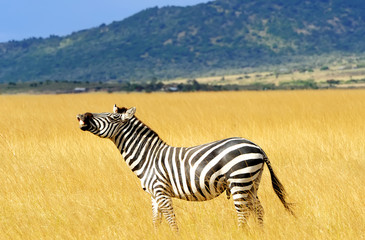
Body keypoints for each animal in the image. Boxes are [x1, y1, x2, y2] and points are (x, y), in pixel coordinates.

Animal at [76, 104, 292, 231]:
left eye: (112, 117)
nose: (81, 115)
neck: (148, 157)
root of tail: (257, 147)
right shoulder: (154, 195)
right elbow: (156, 221)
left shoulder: (161, 191)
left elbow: (172, 221)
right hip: (252, 182)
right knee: (258, 210)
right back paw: (260, 233)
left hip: (239, 180)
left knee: (243, 213)